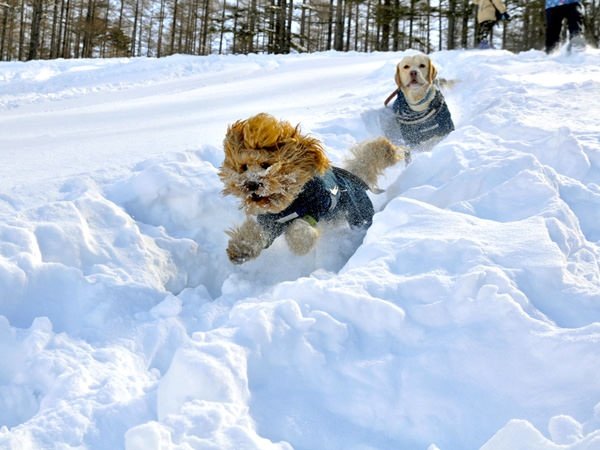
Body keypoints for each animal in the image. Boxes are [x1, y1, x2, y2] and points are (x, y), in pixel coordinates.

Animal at [218, 112, 406, 266]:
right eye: (243, 167)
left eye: (266, 165)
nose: (250, 184)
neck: (289, 202)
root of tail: (352, 178)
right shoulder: (269, 222)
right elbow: (256, 233)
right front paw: (240, 249)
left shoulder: (315, 209)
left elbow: (298, 227)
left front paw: (300, 245)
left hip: (359, 212)